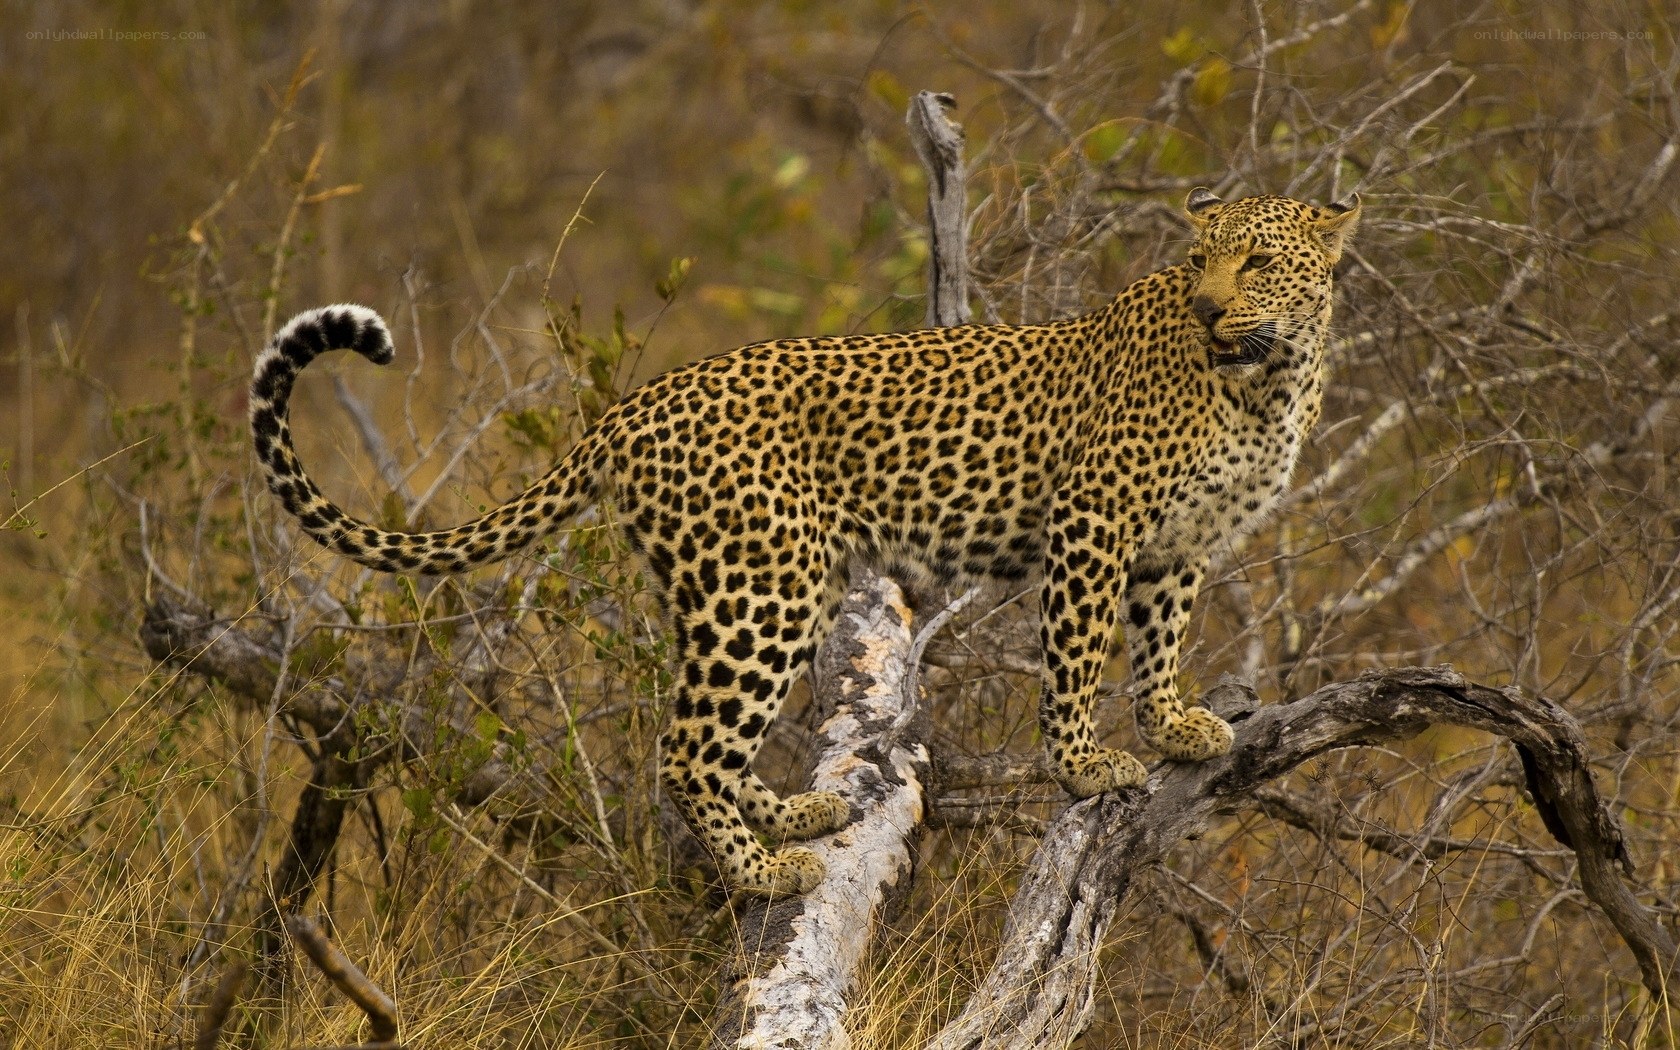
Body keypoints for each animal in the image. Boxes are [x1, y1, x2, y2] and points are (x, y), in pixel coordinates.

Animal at [249, 188, 1361, 896]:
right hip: (763, 590)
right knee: (684, 748)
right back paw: (762, 872)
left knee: (710, 736)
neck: (1269, 377)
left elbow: (1159, 641)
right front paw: (1087, 766)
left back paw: (790, 821)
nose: (1210, 307)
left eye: (1257, 261)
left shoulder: (1177, 544)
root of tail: (633, 406)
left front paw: (1174, 726)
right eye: (1200, 262)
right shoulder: (1096, 520)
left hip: (750, 587)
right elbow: (1080, 655)